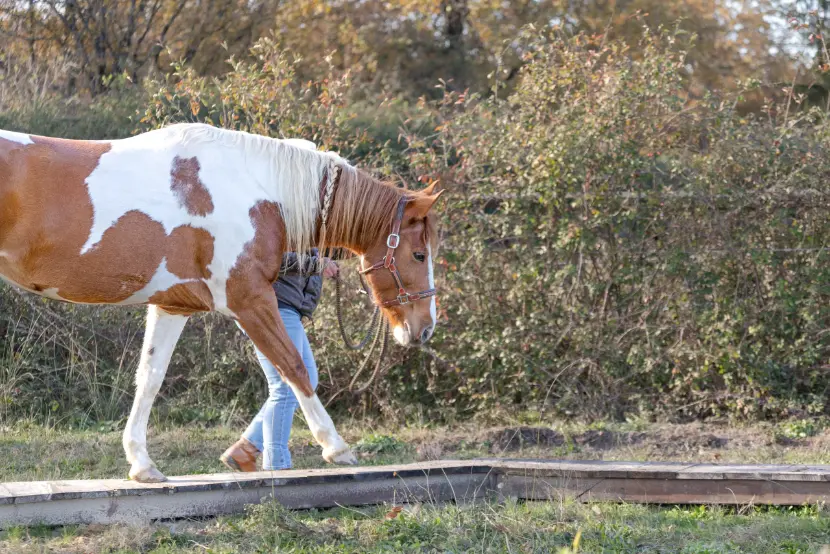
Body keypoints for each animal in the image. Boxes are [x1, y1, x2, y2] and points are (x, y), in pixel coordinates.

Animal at [0, 123, 442, 480]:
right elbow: (294, 367)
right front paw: (336, 447)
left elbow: (149, 378)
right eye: (419, 255)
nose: (425, 328)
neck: (259, 189)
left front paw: (142, 465)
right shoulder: (249, 299)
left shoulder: (173, 306)